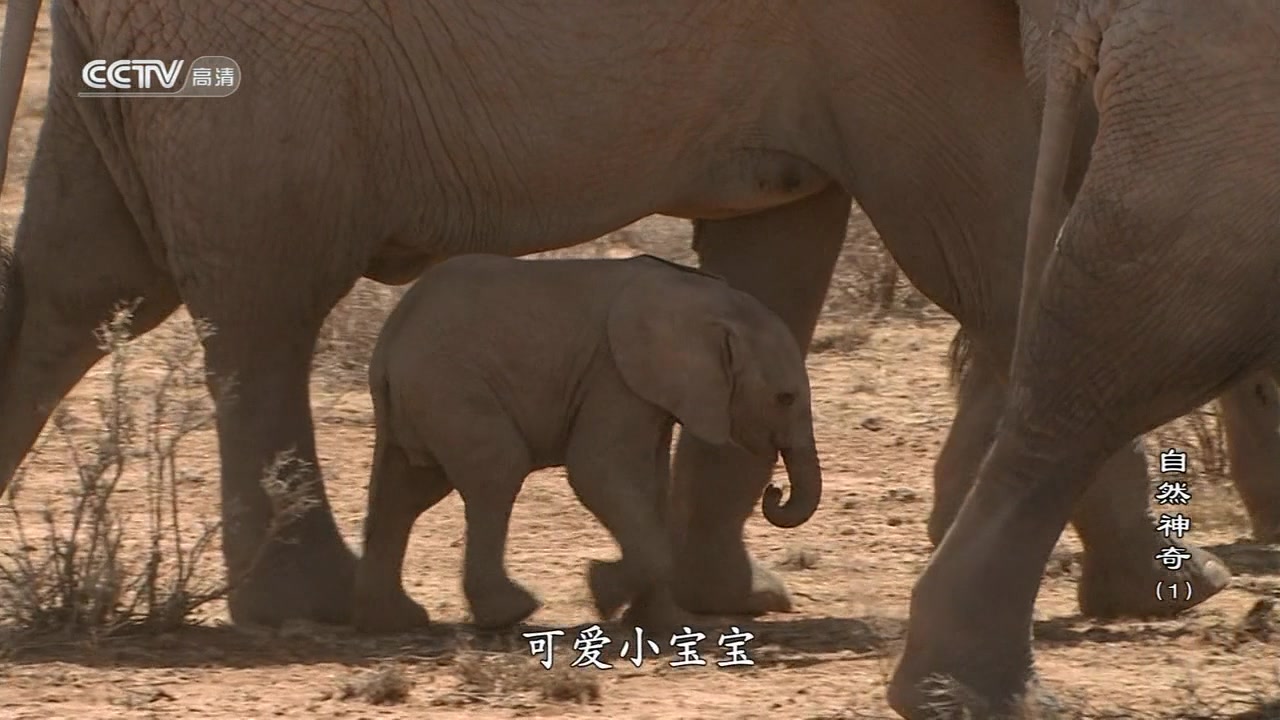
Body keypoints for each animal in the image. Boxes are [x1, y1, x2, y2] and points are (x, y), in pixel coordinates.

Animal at [355, 253, 824, 632]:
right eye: (785, 398)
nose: (775, 491)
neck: (706, 301)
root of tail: (389, 340)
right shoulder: (614, 375)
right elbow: (596, 470)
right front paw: (602, 590)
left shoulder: (646, 390)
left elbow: (651, 487)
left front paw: (666, 626)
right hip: (450, 385)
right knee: (497, 471)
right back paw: (512, 612)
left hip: (424, 397)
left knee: (404, 492)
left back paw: (395, 621)